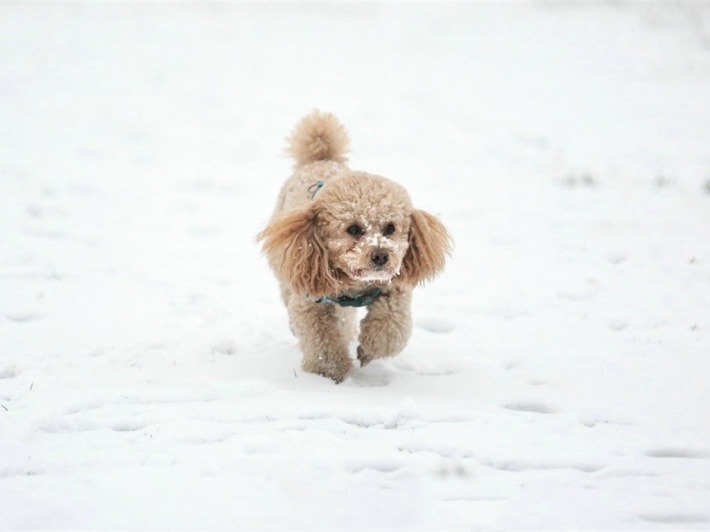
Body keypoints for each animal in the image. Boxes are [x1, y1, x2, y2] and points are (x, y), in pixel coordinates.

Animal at [258, 110, 454, 382]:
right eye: (353, 229)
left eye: (390, 227)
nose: (380, 256)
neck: (356, 285)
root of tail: (321, 159)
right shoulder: (311, 300)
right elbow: (321, 339)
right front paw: (330, 372)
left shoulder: (394, 290)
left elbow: (391, 326)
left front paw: (368, 350)